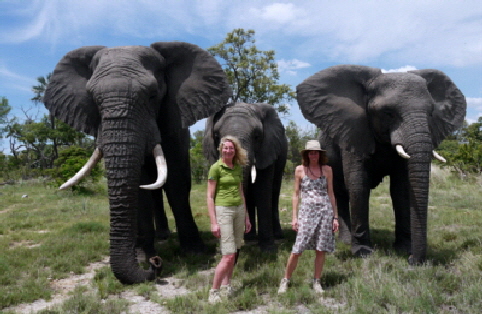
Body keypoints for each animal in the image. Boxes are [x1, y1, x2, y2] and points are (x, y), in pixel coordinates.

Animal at [44, 42, 232, 284]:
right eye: (93, 99)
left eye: (152, 95)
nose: (156, 264)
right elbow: (140, 186)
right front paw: (143, 256)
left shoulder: (174, 119)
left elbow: (177, 181)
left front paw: (195, 252)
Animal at [202, 103, 288, 253]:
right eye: (217, 135)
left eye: (257, 136)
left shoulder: (268, 149)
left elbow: (263, 190)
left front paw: (268, 250)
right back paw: (250, 238)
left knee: (274, 192)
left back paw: (277, 235)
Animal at [298, 65, 466, 264]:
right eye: (388, 113)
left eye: (431, 112)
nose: (412, 260)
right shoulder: (353, 132)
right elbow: (358, 185)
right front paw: (363, 253)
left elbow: (401, 190)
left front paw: (403, 248)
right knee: (340, 192)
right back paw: (345, 241)